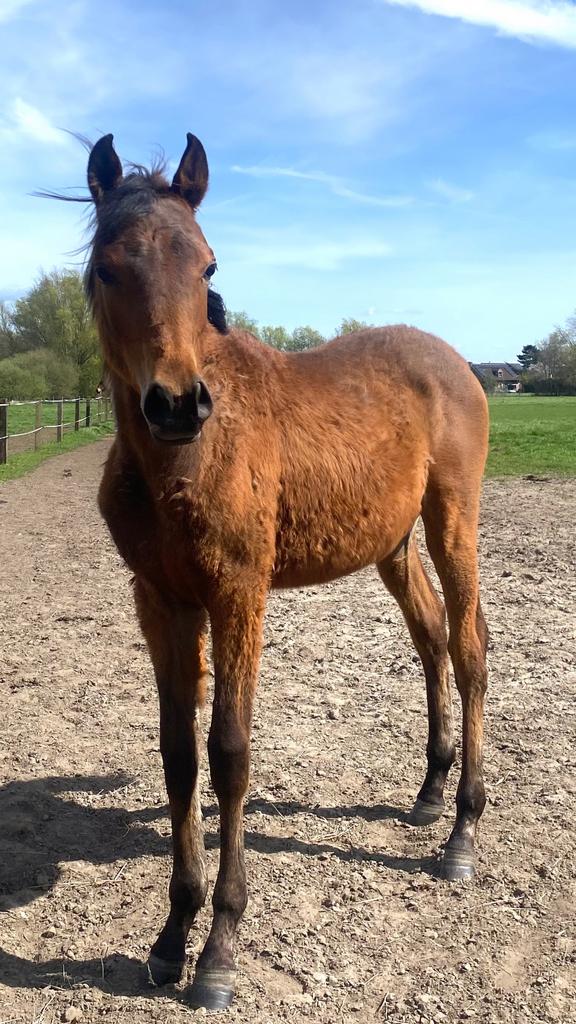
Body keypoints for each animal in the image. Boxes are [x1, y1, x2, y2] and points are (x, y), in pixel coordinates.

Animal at [82, 132, 489, 1010]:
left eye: (206, 265)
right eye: (107, 267)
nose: (176, 403)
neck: (181, 464)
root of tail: (457, 361)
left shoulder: (238, 594)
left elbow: (230, 752)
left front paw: (219, 952)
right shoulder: (161, 601)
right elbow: (178, 753)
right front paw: (171, 936)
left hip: (452, 522)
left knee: (472, 650)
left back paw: (463, 831)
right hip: (393, 547)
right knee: (433, 640)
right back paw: (429, 793)